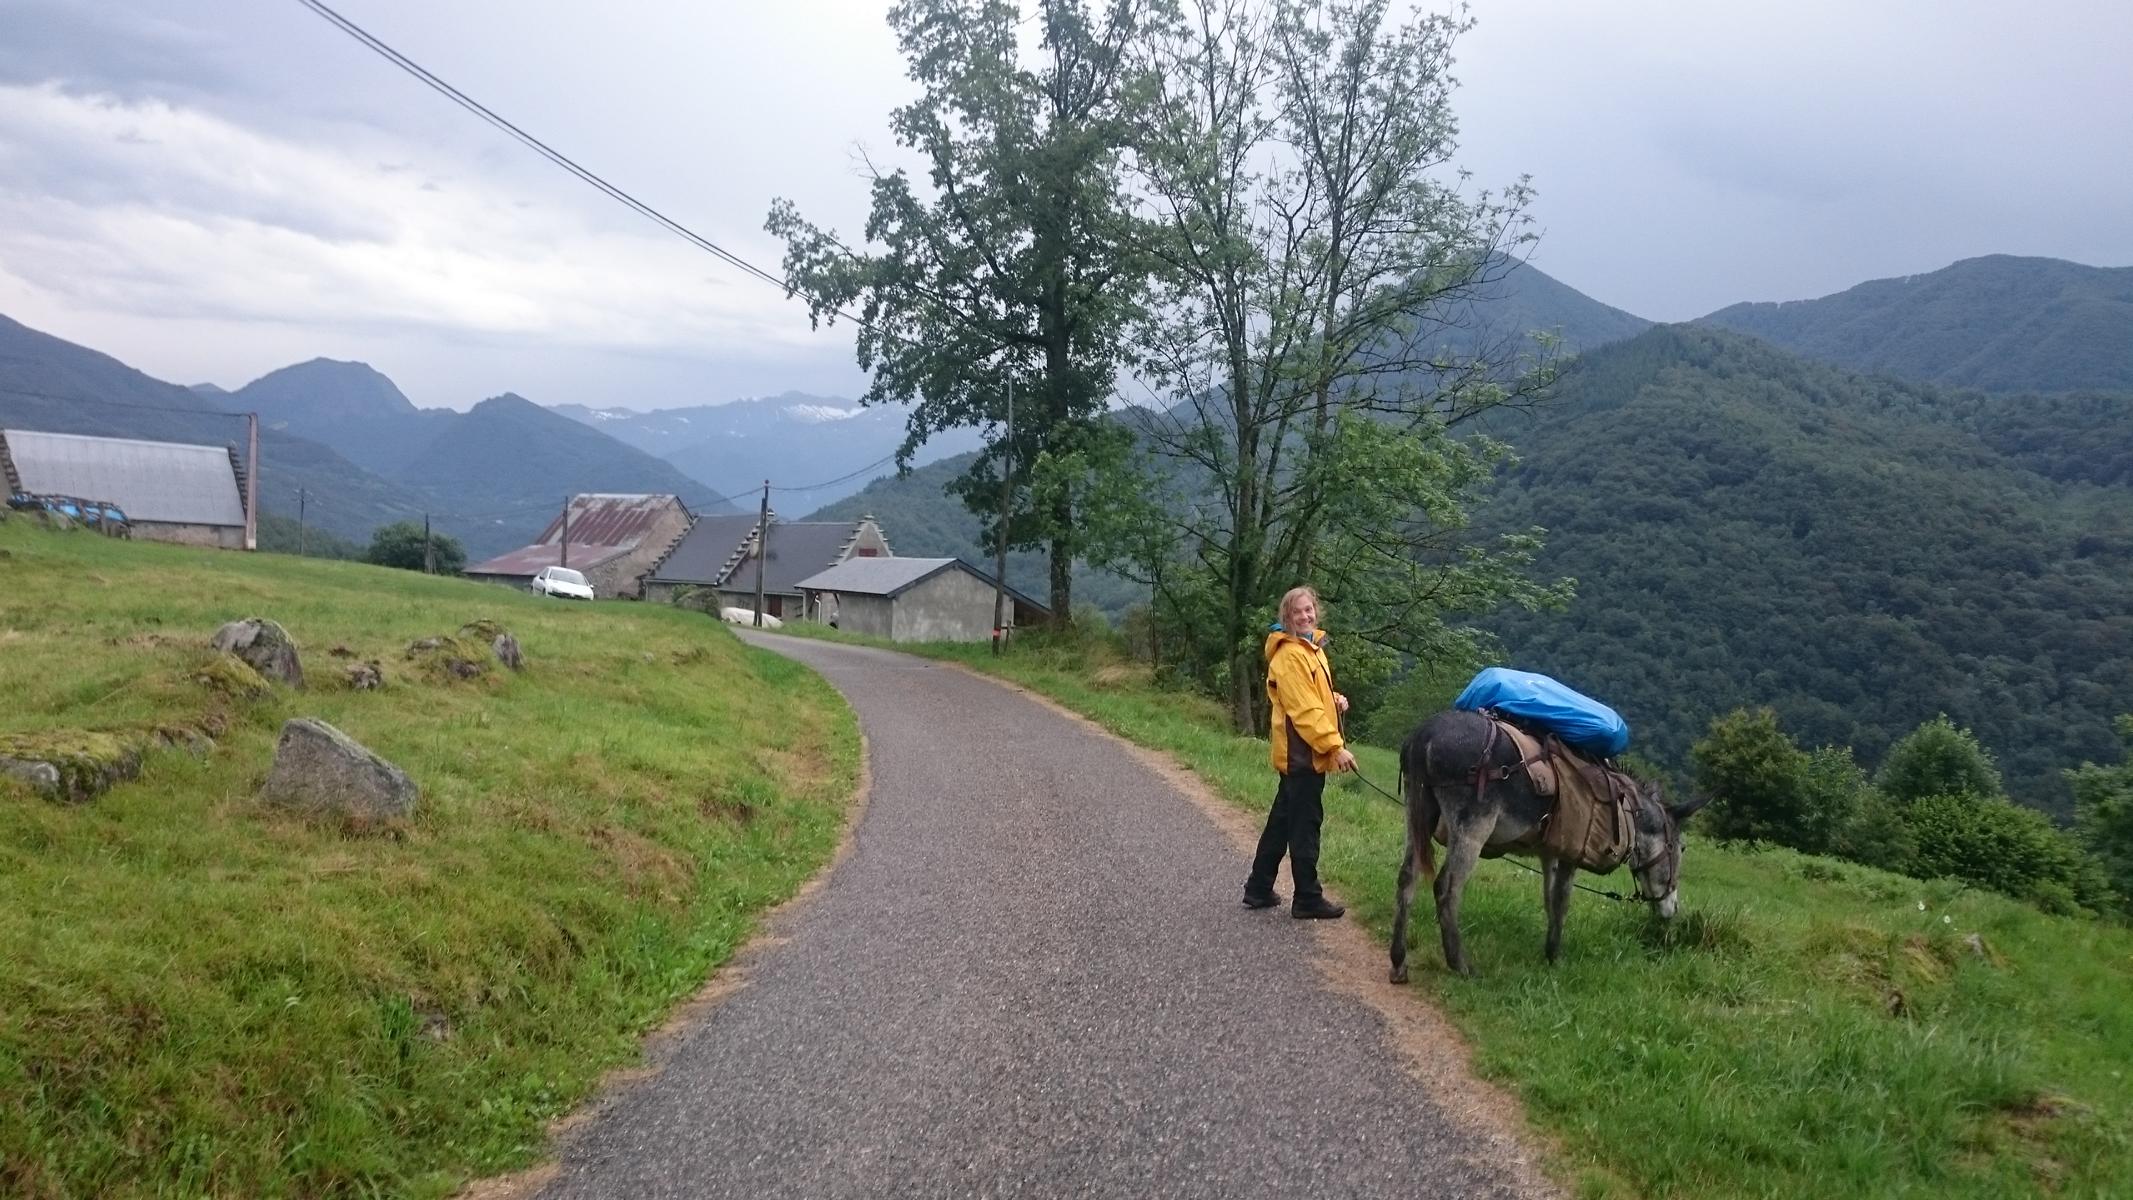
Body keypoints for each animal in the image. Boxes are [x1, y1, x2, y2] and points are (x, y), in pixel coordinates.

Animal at [1389, 709, 1711, 980]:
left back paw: (1398, 961)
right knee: (1447, 888)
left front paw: (1548, 950)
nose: (1672, 910)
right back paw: (1460, 964)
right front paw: (1556, 957)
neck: (1626, 807)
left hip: (1417, 812)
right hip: (1472, 828)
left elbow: (1548, 899)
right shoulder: (1572, 852)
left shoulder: (1550, 852)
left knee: (1407, 877)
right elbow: (1561, 901)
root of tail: (1426, 735)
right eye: (1681, 849)